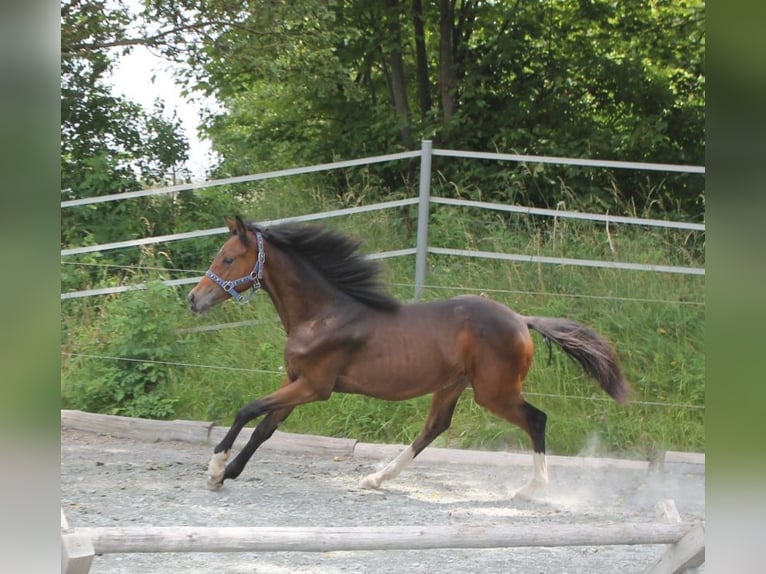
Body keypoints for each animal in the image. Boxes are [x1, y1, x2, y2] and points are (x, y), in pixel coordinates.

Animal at [189, 216, 632, 500]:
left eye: (228, 258)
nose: (194, 299)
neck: (323, 314)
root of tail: (521, 320)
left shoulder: (315, 386)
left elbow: (248, 410)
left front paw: (215, 468)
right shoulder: (295, 382)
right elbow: (266, 428)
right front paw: (227, 473)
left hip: (493, 391)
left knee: (536, 420)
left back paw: (530, 489)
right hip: (453, 385)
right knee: (434, 427)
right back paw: (375, 479)